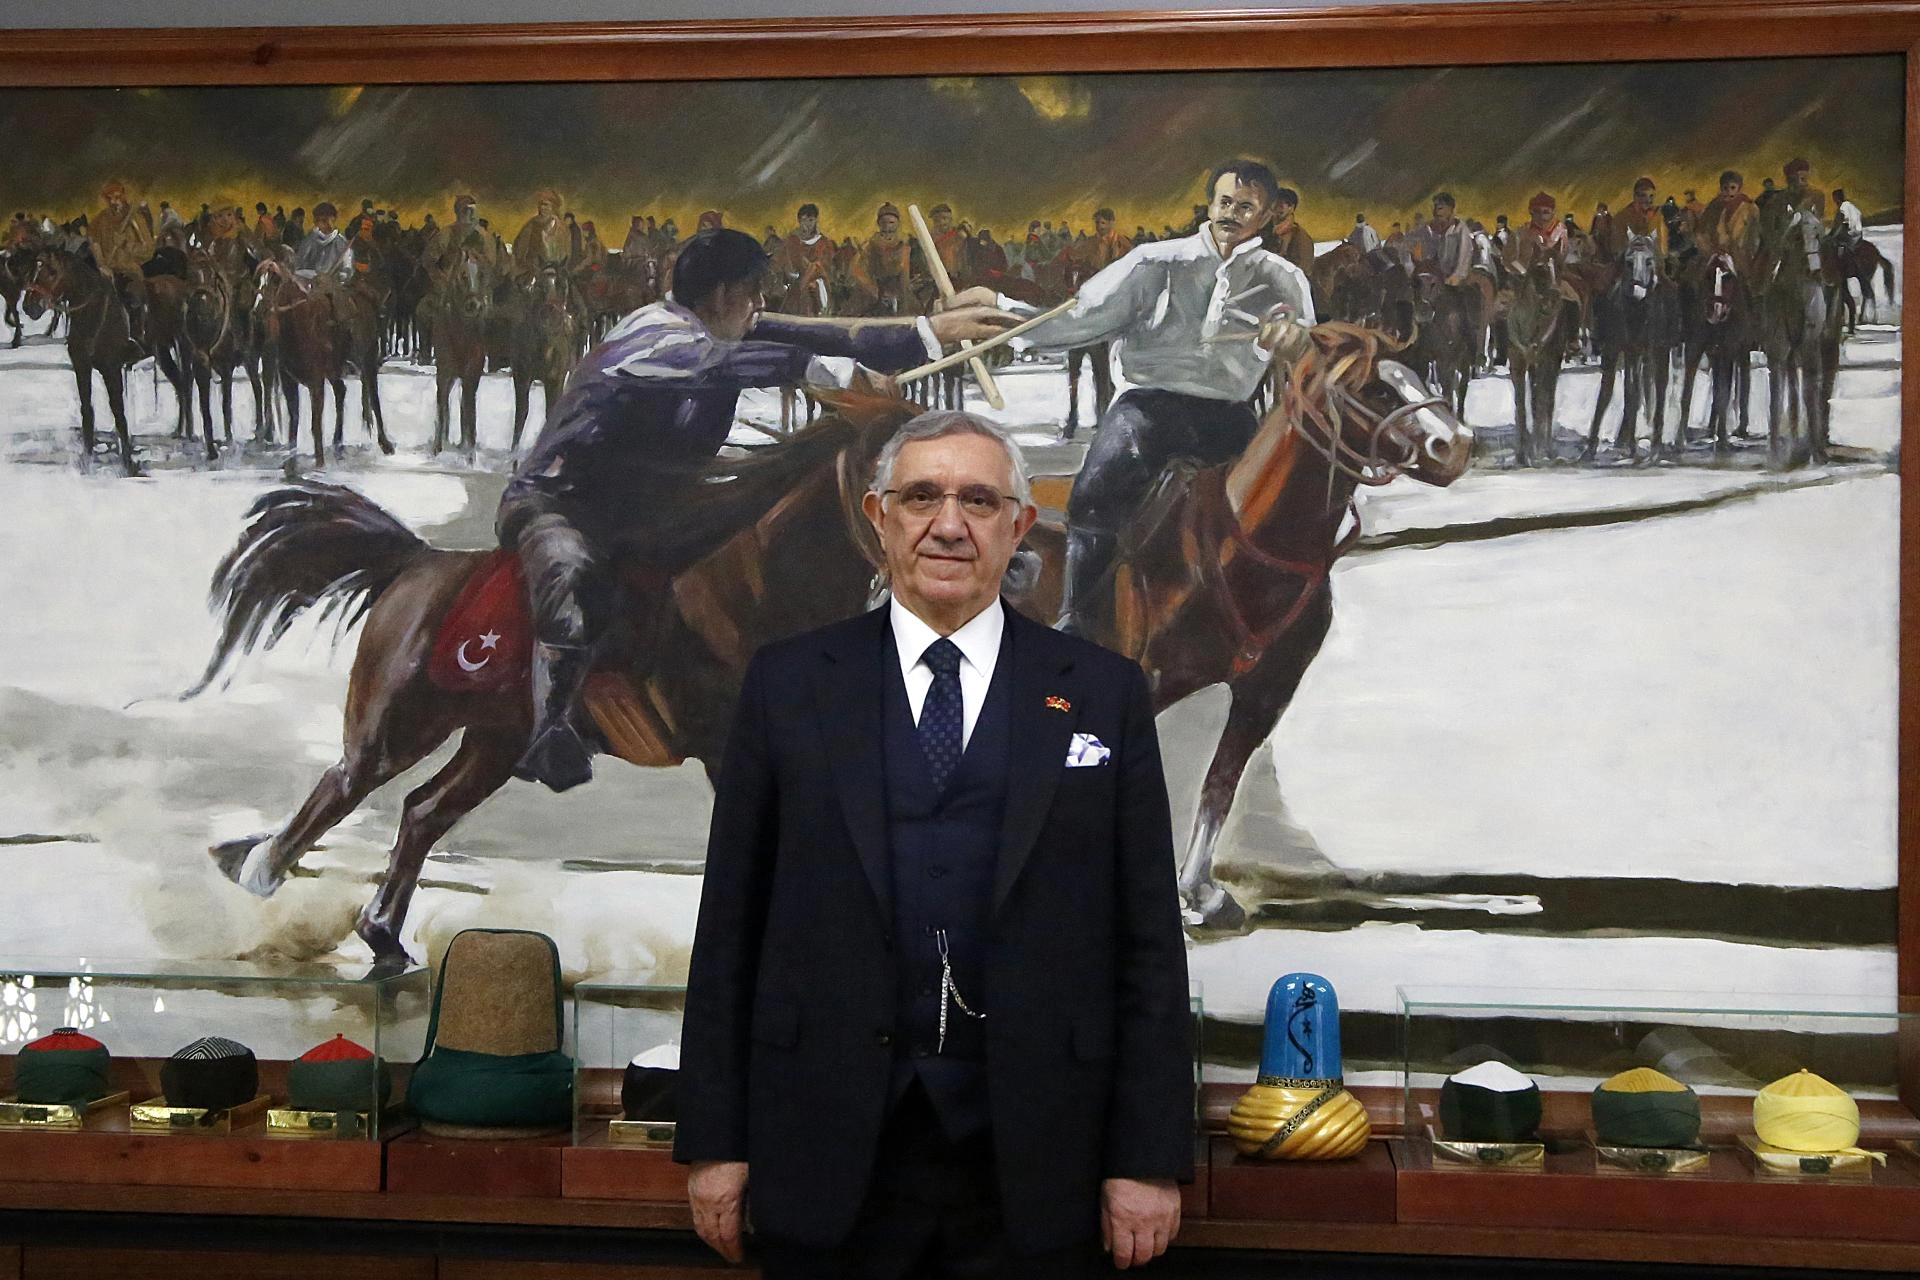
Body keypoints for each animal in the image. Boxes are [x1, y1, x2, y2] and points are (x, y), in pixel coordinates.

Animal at [508, 265, 586, 454]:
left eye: (563, 285)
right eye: (539, 286)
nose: (551, 316)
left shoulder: (555, 378)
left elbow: (551, 411)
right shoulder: (521, 375)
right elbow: (521, 413)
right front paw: (513, 455)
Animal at [1585, 235, 1682, 461]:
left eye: (1649, 261)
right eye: (1628, 262)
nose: (1637, 292)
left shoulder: (1659, 349)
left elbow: (1657, 389)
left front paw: (1654, 448)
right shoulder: (1623, 349)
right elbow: (1623, 391)